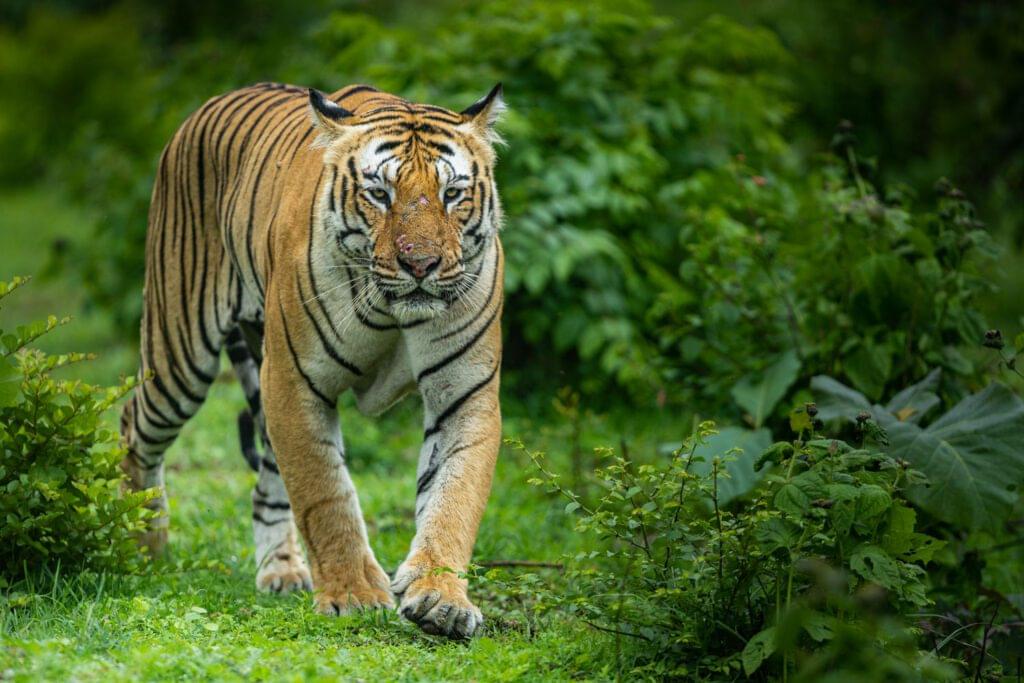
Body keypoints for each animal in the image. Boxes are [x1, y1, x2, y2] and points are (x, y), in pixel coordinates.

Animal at [118, 81, 506, 639]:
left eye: (452, 194)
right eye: (379, 194)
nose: (421, 264)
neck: (393, 311)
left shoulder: (465, 394)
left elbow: (453, 498)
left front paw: (442, 599)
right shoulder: (294, 381)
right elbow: (325, 492)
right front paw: (355, 595)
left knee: (265, 482)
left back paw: (281, 571)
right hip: (179, 352)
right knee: (135, 426)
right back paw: (144, 545)